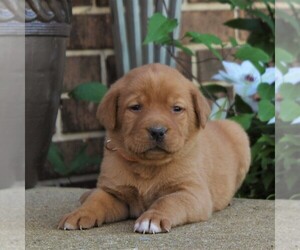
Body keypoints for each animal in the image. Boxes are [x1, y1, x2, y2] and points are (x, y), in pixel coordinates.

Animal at [57, 63, 250, 233]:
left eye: (177, 108)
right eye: (135, 107)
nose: (157, 131)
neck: (147, 166)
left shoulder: (192, 192)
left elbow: (168, 201)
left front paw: (152, 219)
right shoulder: (114, 191)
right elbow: (97, 200)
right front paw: (79, 214)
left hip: (239, 133)